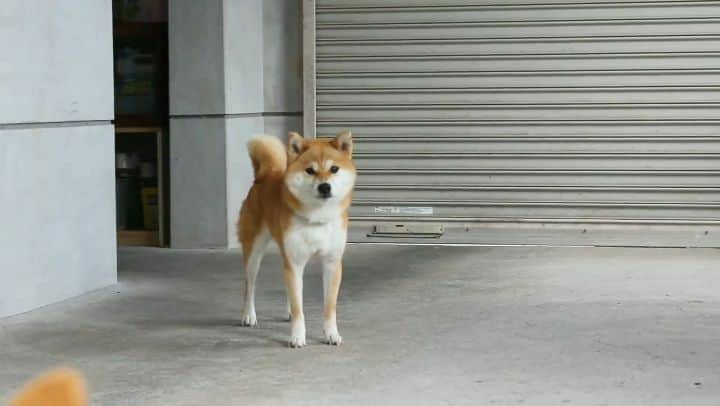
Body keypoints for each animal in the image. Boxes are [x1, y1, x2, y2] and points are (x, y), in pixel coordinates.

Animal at [236, 132, 354, 348]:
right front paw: (298, 336)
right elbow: (299, 307)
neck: (317, 217)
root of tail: (264, 175)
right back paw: (248, 315)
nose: (325, 187)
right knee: (250, 285)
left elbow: (329, 306)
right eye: (310, 170)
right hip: (254, 252)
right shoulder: (295, 263)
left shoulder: (332, 264)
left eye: (334, 169)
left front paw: (331, 334)